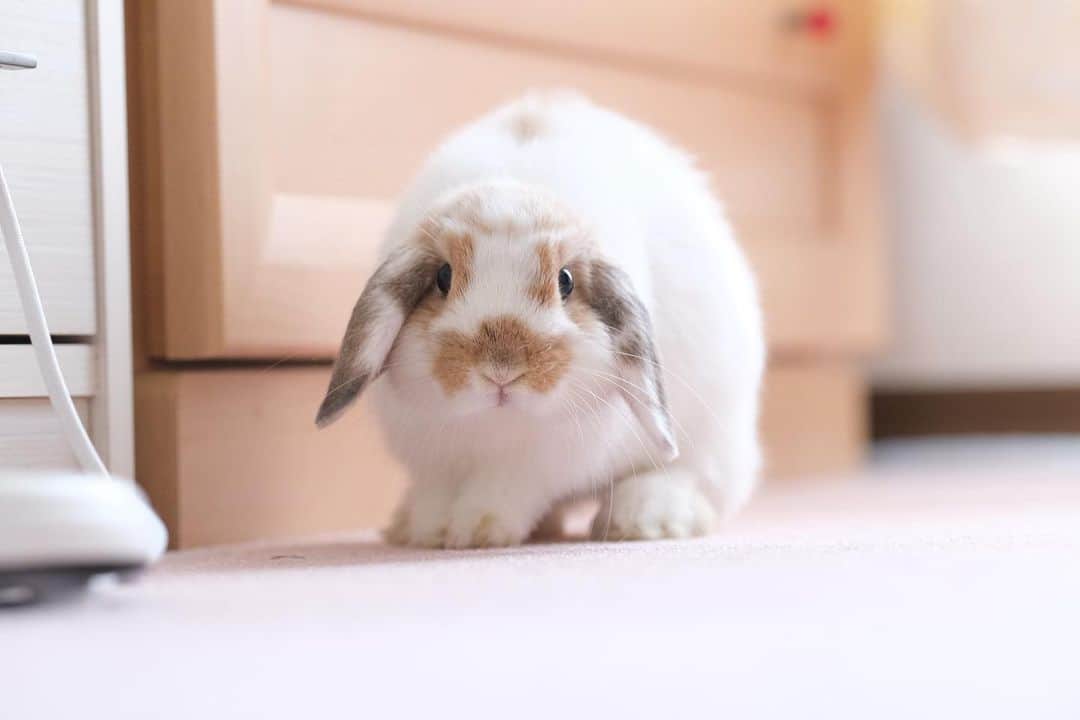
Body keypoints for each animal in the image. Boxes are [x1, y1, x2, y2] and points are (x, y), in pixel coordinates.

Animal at [316, 91, 765, 549]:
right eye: (443, 277)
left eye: (565, 280)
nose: (501, 369)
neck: (493, 426)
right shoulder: (434, 463)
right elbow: (436, 493)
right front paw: (432, 531)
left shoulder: (538, 465)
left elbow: (503, 491)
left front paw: (476, 530)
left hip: (710, 441)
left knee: (686, 478)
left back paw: (643, 520)